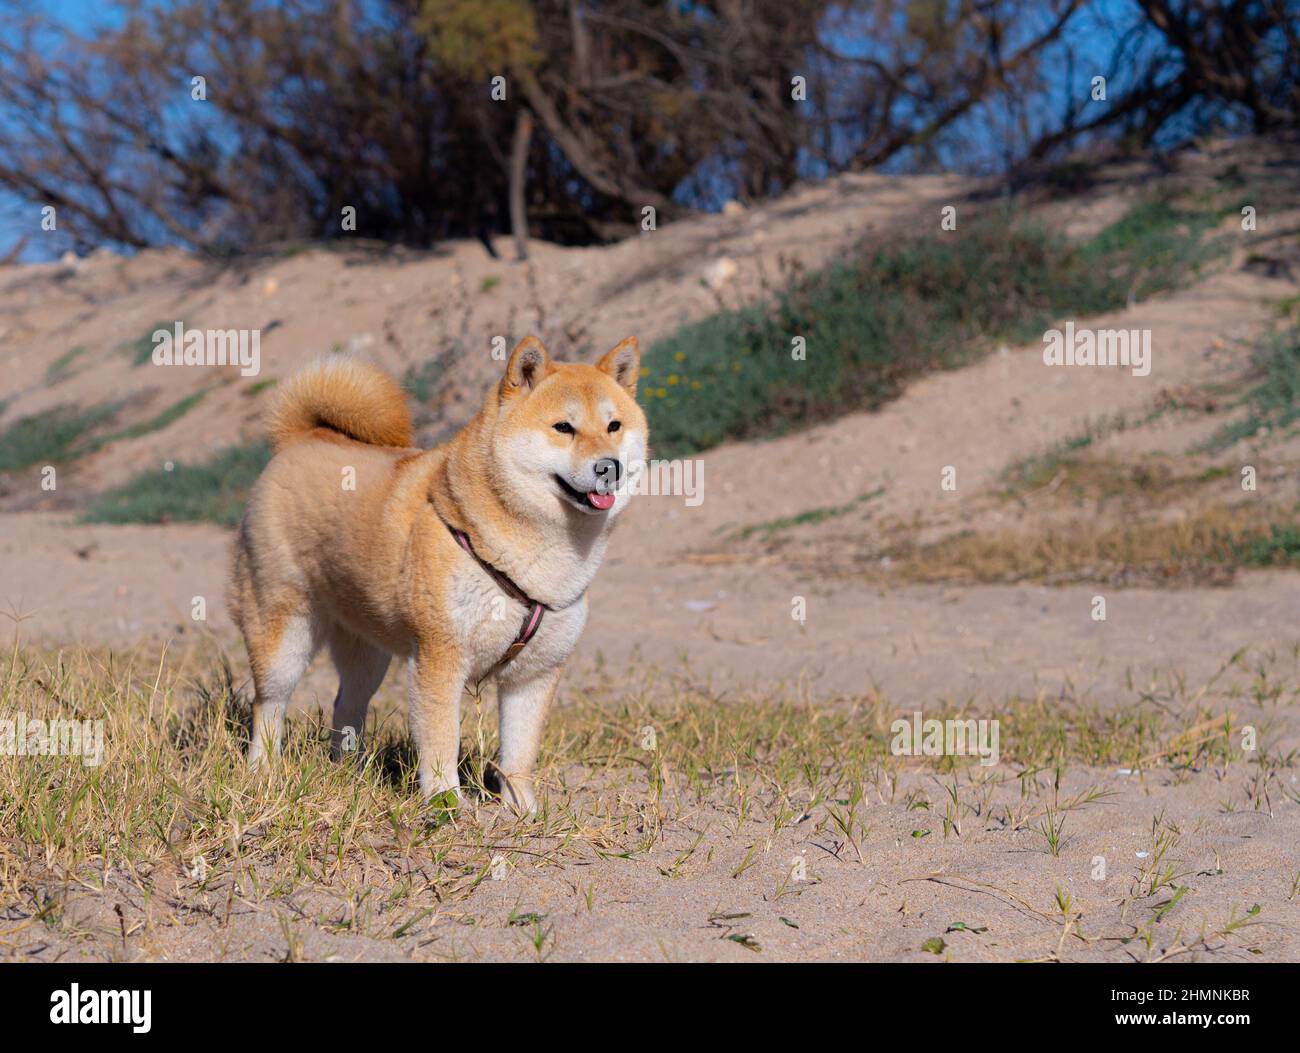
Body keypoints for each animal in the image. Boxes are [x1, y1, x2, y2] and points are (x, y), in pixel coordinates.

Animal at [228, 335, 647, 815]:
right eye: (564, 427)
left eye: (614, 426)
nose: (609, 466)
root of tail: (300, 439)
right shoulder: (440, 657)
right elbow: (442, 741)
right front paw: (447, 806)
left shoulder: (535, 673)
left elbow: (520, 754)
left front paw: (524, 812)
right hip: (285, 631)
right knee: (270, 704)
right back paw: (264, 772)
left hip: (368, 653)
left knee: (347, 705)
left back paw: (349, 774)